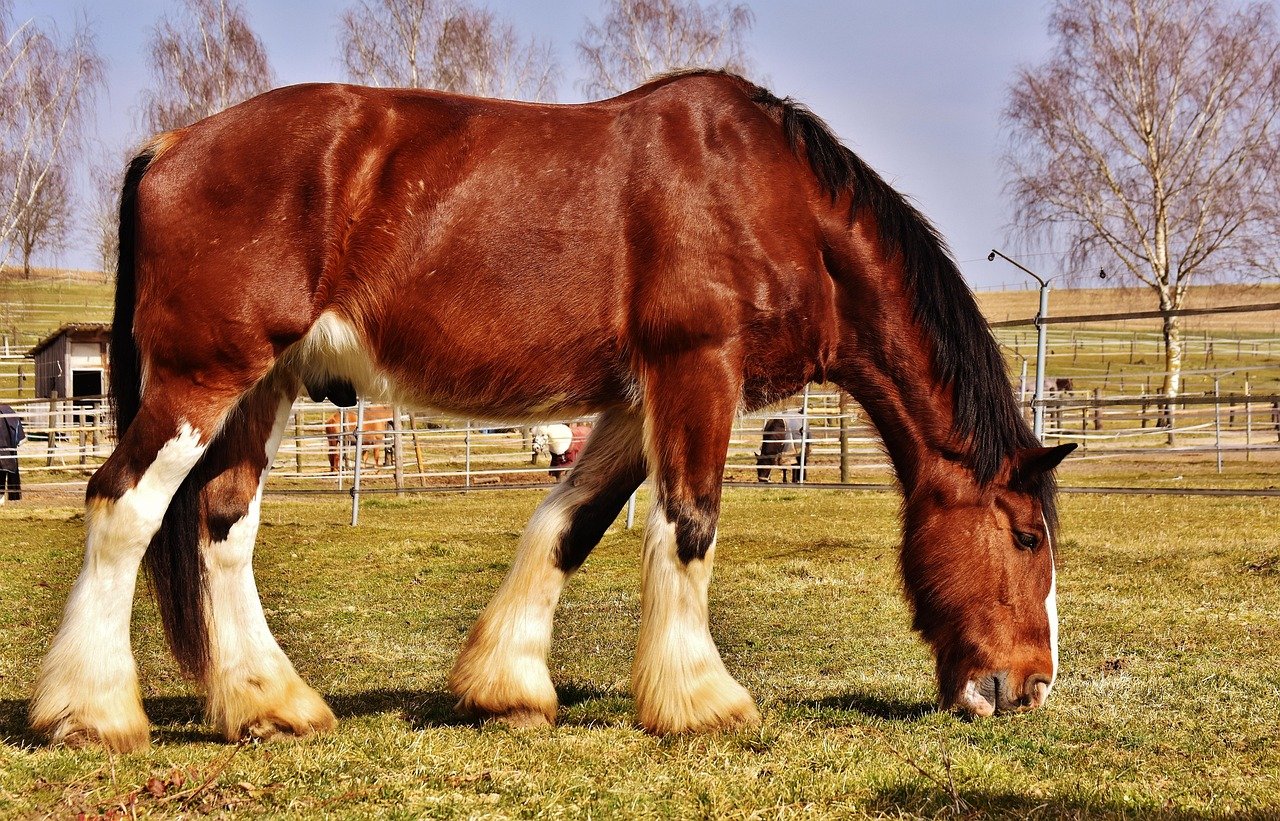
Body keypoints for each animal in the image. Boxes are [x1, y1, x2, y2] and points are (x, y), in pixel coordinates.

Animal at [31, 71, 1074, 752]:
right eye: (1026, 536)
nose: (1028, 687)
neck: (772, 200)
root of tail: (172, 146)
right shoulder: (698, 370)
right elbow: (688, 526)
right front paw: (701, 700)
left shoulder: (630, 400)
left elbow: (569, 525)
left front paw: (507, 686)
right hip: (203, 379)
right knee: (123, 506)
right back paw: (92, 712)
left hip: (265, 385)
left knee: (221, 523)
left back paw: (269, 704)